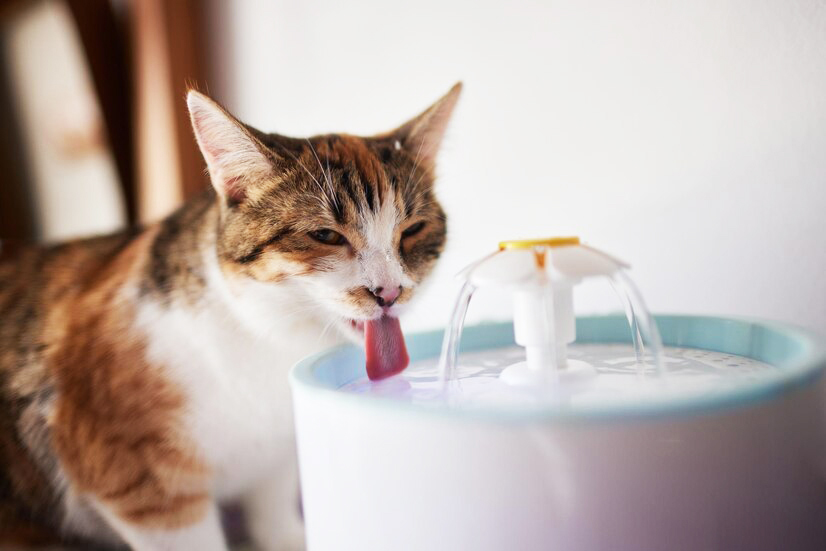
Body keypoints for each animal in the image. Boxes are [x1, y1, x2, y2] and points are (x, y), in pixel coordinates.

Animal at [0, 82, 461, 550]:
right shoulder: (143, 488)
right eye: (325, 235)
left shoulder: (274, 460)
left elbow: (273, 516)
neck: (268, 337)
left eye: (413, 230)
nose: (389, 292)